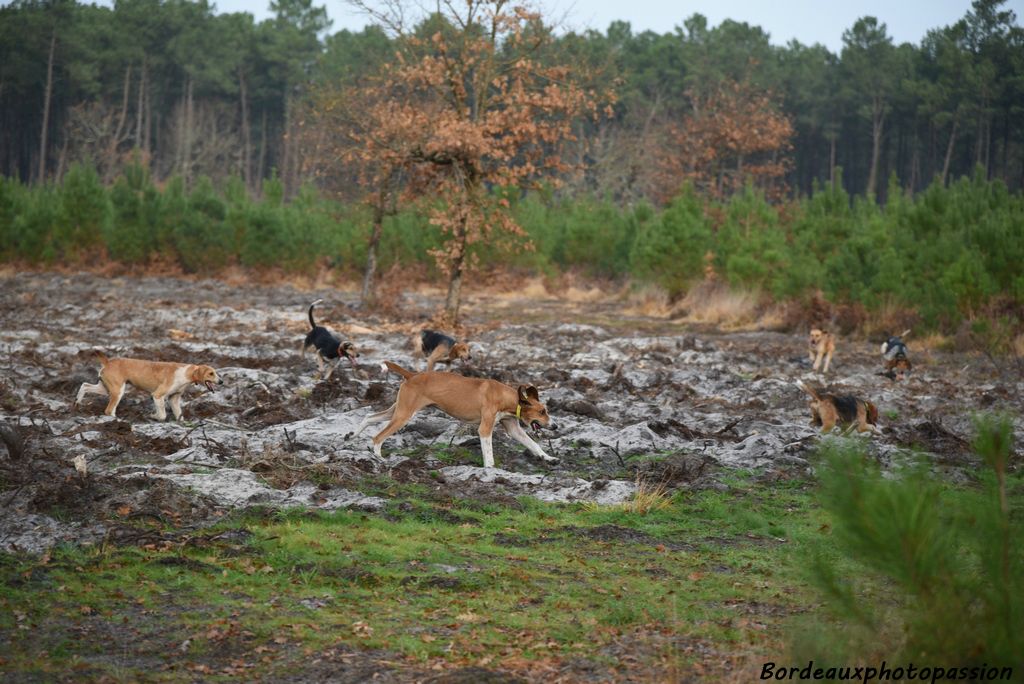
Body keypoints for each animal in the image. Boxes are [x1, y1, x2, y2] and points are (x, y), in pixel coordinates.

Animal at [77, 352, 224, 421]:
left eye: (215, 372)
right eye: (211, 373)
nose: (221, 382)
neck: (186, 373)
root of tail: (108, 362)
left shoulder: (174, 399)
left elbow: (179, 416)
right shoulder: (157, 396)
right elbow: (162, 415)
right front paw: (153, 416)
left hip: (105, 388)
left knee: (84, 385)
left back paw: (77, 402)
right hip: (117, 391)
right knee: (109, 410)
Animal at [354, 360, 561, 466]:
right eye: (542, 411)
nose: (555, 426)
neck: (509, 398)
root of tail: (412, 375)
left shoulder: (514, 430)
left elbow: (534, 445)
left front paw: (549, 458)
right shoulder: (484, 429)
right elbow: (489, 454)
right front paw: (491, 470)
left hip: (396, 411)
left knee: (369, 417)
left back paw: (352, 436)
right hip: (403, 416)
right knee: (378, 436)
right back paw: (379, 457)